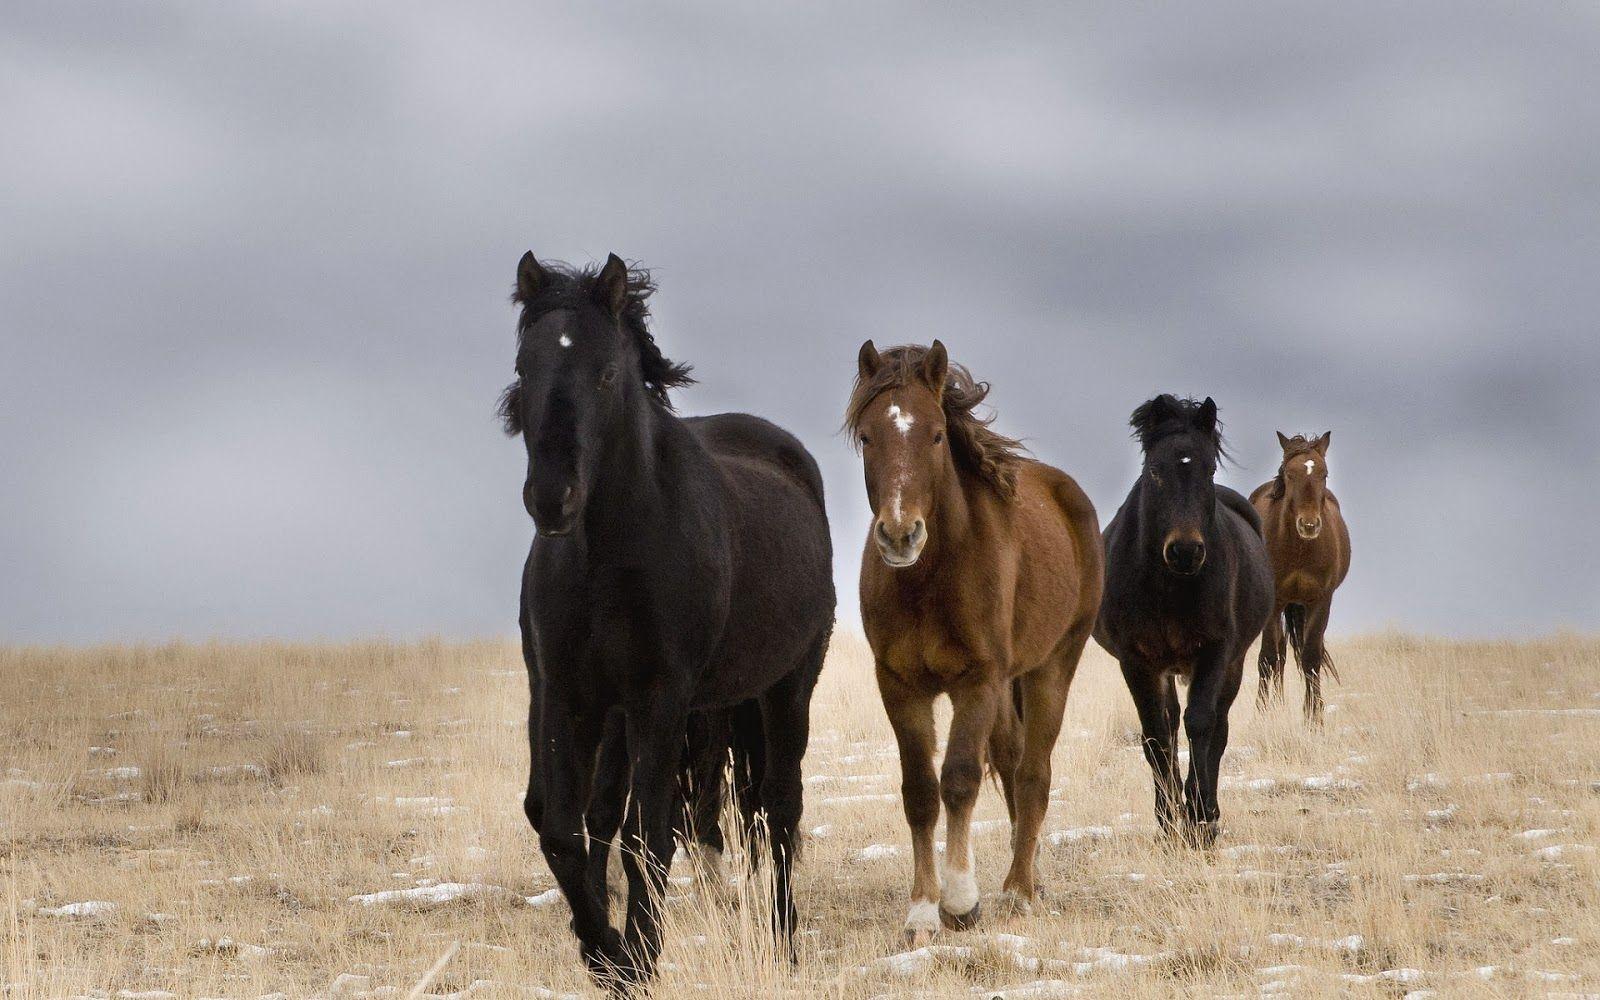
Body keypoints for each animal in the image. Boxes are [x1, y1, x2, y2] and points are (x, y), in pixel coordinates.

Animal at [502, 252, 835, 993]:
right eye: (524, 367)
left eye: (605, 372)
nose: (551, 498)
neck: (610, 554)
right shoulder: (566, 693)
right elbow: (562, 827)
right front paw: (604, 954)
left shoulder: (660, 697)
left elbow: (645, 836)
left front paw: (640, 956)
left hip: (785, 690)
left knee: (780, 808)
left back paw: (785, 943)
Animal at [848, 341, 1103, 945]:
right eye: (867, 436)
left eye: (938, 434)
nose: (900, 535)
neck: (930, 577)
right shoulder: (899, 685)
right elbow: (919, 791)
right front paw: (921, 911)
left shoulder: (978, 680)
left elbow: (959, 779)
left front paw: (961, 903)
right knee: (1011, 761)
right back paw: (1027, 873)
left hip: (1053, 665)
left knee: (1033, 772)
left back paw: (1019, 889)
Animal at [1094, 395, 1273, 848]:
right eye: (1155, 470)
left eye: (1208, 469)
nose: (1185, 551)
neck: (1168, 586)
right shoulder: (1137, 660)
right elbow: (1157, 735)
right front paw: (1168, 820)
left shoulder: (1214, 652)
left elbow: (1202, 726)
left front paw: (1200, 819)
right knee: (1172, 723)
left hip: (1232, 663)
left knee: (1217, 730)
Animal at [1250, 432, 1351, 723]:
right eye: (1290, 474)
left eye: (1324, 473)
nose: (1309, 525)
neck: (1299, 549)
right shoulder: (1275, 602)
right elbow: (1268, 657)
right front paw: (1262, 713)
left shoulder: (1320, 601)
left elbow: (1311, 658)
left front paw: (1314, 717)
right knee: (1278, 655)